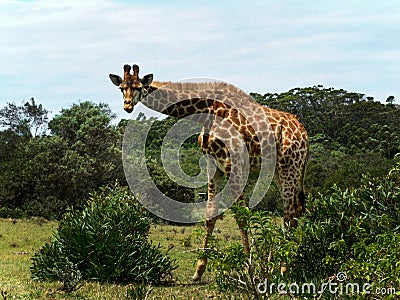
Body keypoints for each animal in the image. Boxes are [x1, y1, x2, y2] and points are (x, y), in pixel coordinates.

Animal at [108, 63, 310, 282]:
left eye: (138, 87)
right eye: (122, 88)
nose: (127, 106)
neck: (205, 112)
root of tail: (305, 134)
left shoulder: (233, 162)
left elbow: (241, 216)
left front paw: (248, 268)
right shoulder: (213, 164)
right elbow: (210, 214)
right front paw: (198, 270)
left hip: (289, 165)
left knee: (289, 212)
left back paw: (284, 268)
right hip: (280, 171)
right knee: (296, 209)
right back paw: (287, 262)